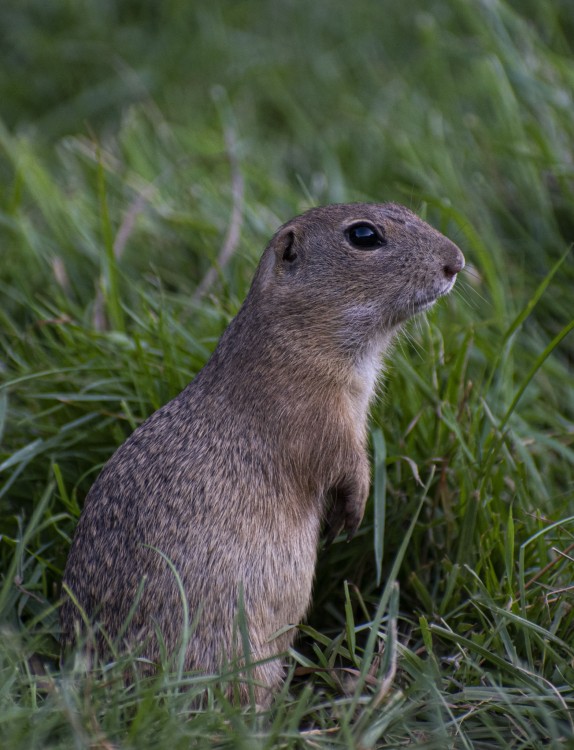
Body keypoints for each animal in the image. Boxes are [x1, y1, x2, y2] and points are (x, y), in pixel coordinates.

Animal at [60, 201, 466, 704]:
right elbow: (345, 463)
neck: (296, 339)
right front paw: (352, 514)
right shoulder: (318, 417)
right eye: (364, 235)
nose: (456, 261)